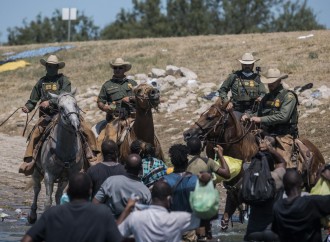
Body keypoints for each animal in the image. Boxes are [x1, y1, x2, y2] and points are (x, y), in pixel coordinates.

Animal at [27, 90, 85, 224]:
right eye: (61, 107)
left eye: (75, 104)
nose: (75, 124)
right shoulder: (49, 175)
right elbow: (48, 201)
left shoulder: (68, 176)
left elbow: (58, 196)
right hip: (36, 171)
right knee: (36, 189)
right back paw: (32, 215)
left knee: (57, 194)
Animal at [183, 98, 324, 231]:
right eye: (202, 114)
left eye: (210, 117)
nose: (187, 134)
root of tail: (316, 152)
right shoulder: (232, 195)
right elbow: (225, 220)